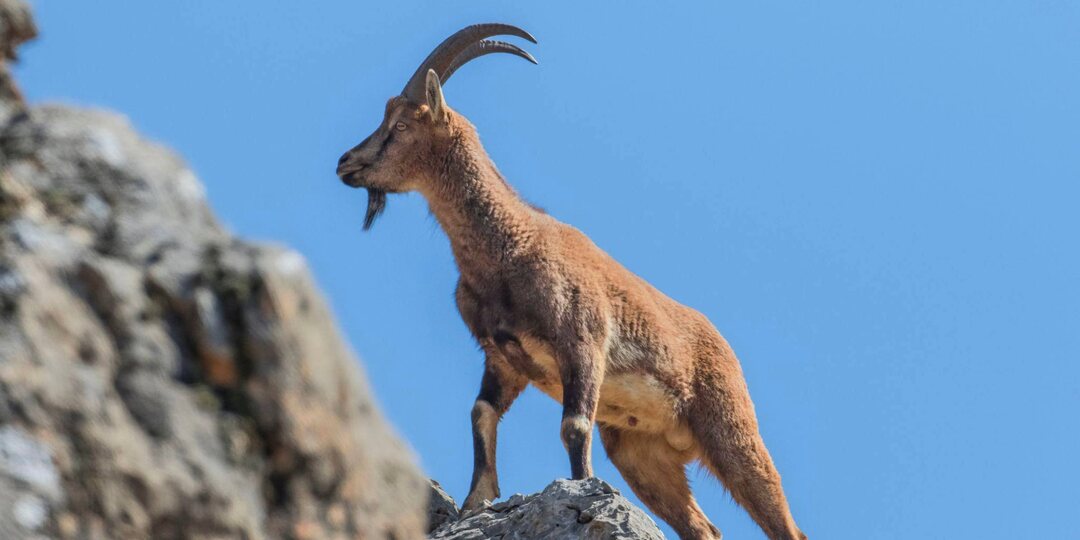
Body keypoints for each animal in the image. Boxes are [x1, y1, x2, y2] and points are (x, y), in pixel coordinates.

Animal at [336, 24, 807, 540]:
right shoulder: (503, 356)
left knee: (781, 518)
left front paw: (581, 491)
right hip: (643, 454)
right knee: (702, 527)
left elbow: (574, 426)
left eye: (401, 125)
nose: (345, 163)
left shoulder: (581, 341)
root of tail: (723, 347)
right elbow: (481, 414)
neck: (507, 249)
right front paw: (476, 501)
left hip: (731, 430)